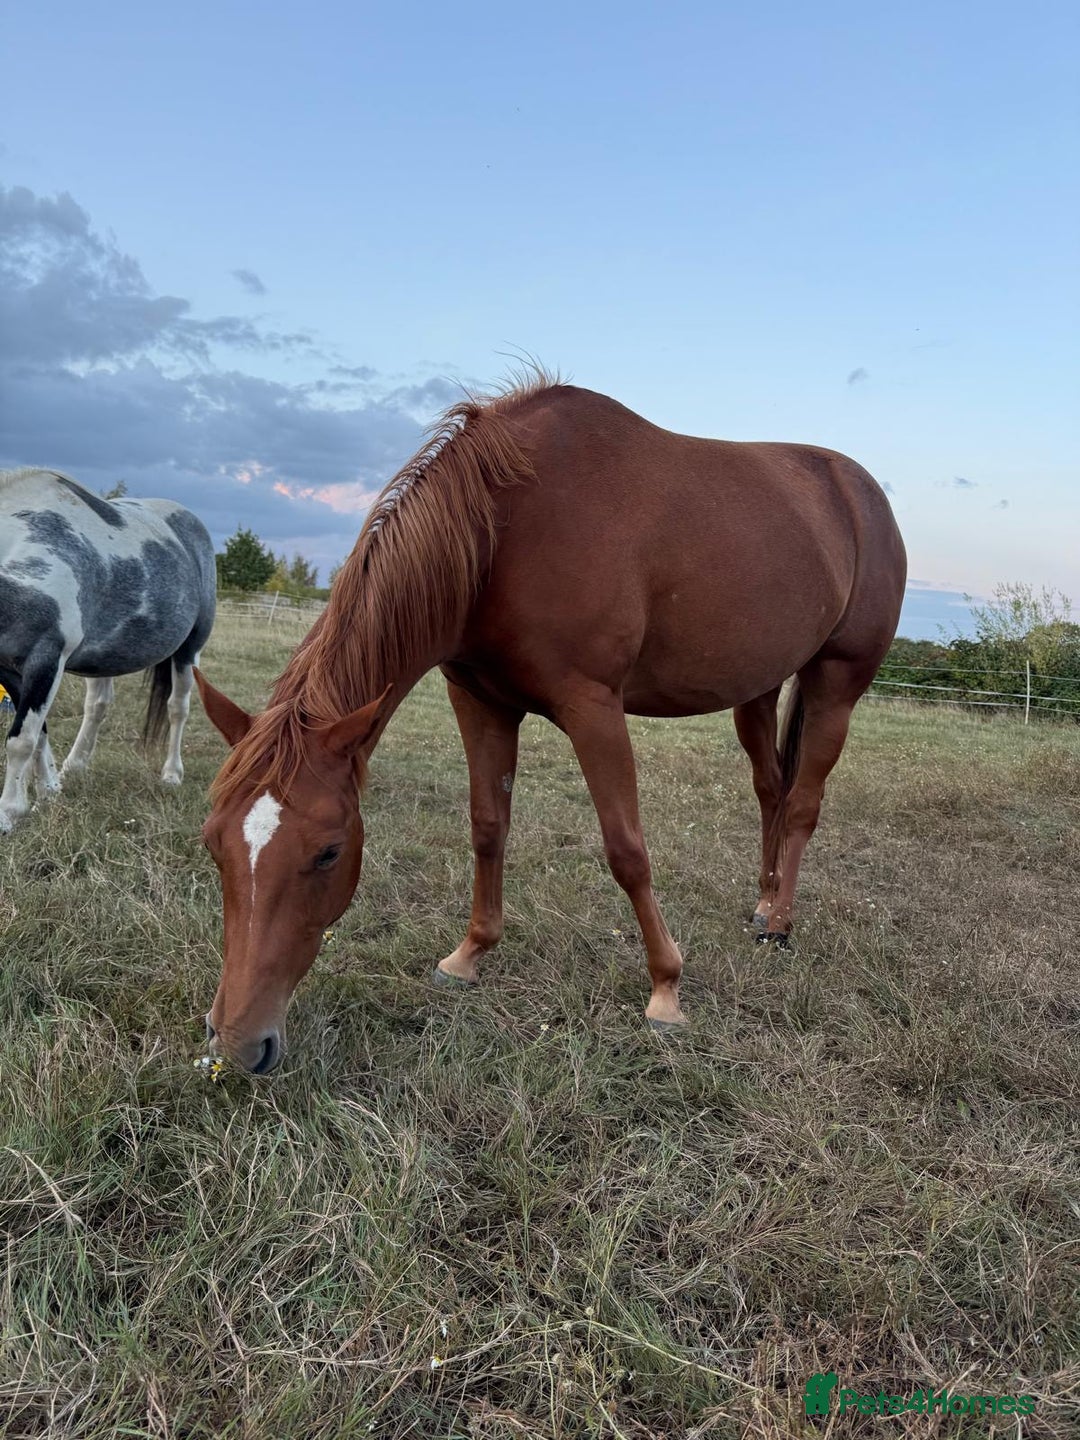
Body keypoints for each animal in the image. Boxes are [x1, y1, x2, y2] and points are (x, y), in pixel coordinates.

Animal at [0, 469, 217, 832]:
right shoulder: (11, 669)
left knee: (178, 707)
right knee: (97, 705)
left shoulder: (45, 659)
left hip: (190, 650)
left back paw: (172, 774)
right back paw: (75, 766)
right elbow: (40, 734)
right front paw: (49, 792)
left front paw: (9, 812)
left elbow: (22, 740)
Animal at [195, 376, 906, 1073]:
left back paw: (780, 923)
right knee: (770, 791)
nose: (236, 1044)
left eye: (328, 851)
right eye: (213, 843)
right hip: (754, 691)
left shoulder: (592, 707)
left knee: (804, 803)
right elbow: (488, 827)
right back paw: (762, 905)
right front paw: (468, 955)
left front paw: (666, 990)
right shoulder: (478, 701)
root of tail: (861, 491)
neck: (509, 526)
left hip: (838, 683)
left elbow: (627, 850)